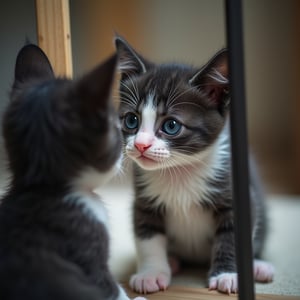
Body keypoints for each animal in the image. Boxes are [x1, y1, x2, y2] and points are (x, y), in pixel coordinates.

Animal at [115, 36, 274, 294]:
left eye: (171, 125)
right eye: (131, 120)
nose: (140, 145)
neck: (180, 171)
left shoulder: (235, 193)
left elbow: (232, 236)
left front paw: (227, 275)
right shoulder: (144, 201)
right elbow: (147, 237)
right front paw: (150, 274)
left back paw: (259, 267)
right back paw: (172, 261)